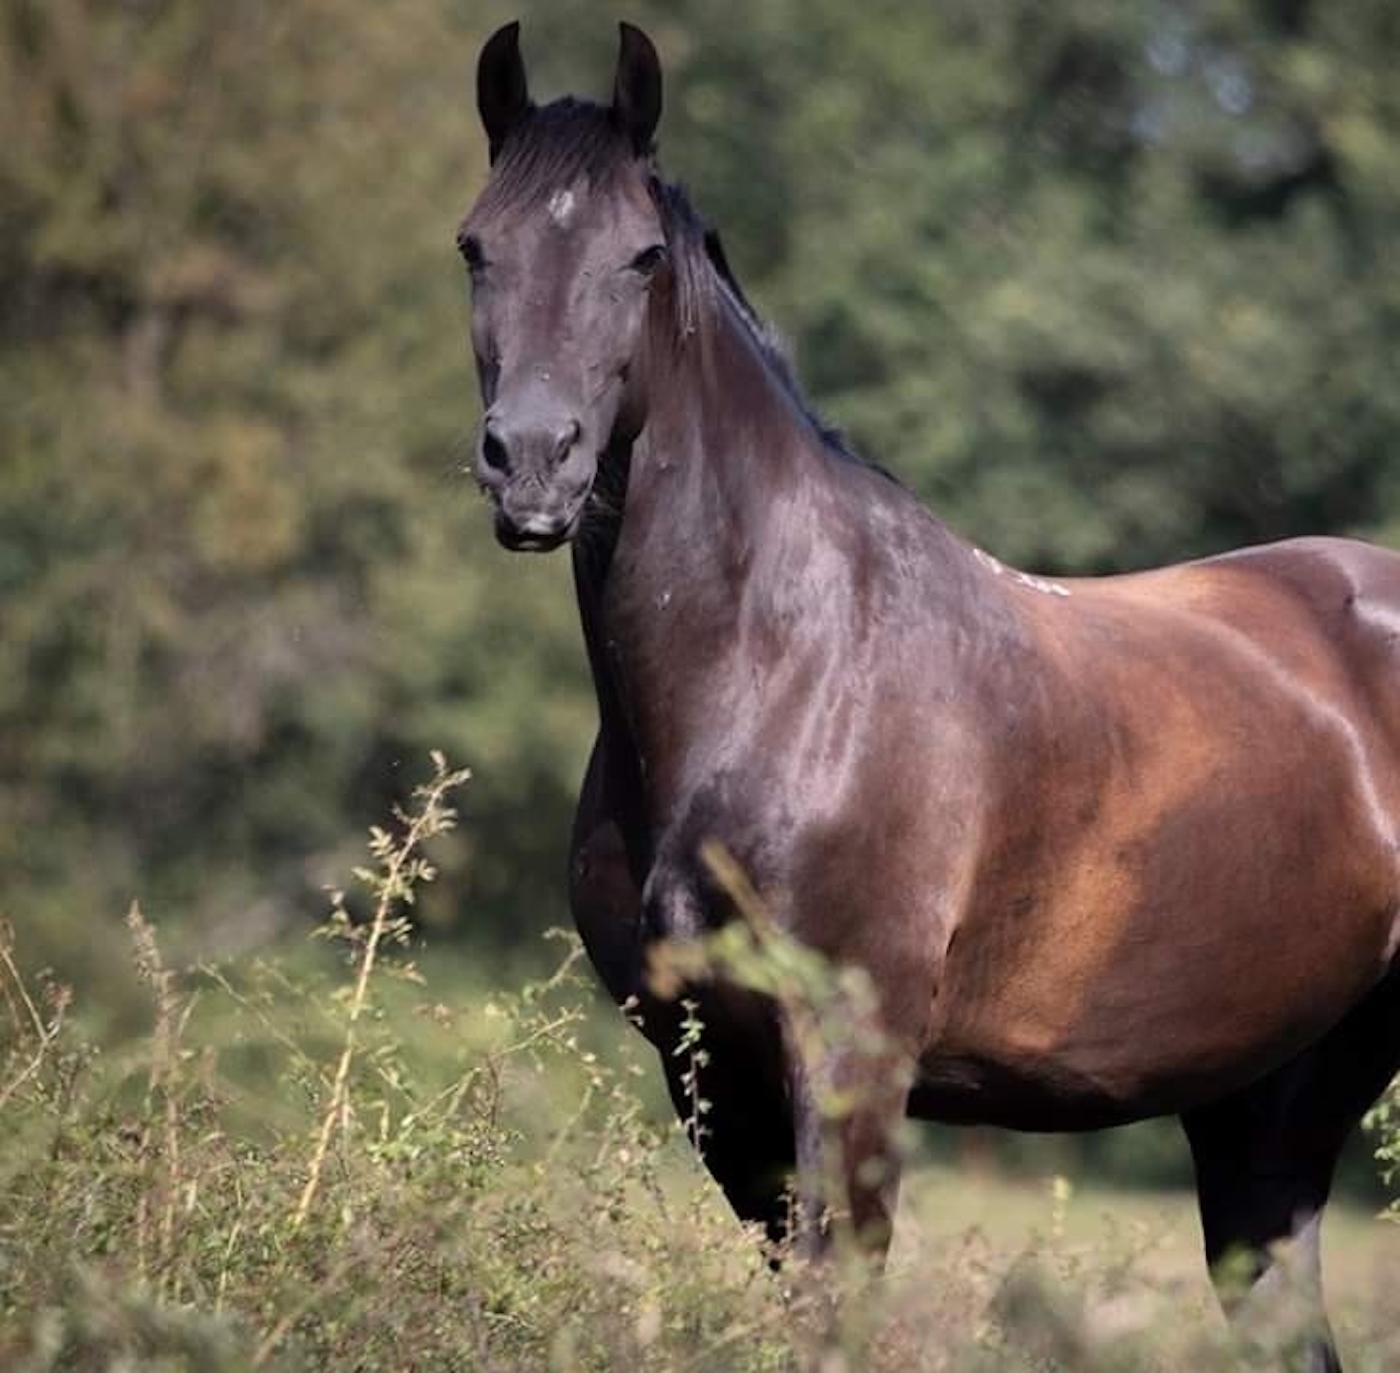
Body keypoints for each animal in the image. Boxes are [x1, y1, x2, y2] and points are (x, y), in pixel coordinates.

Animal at [456, 21, 1400, 1370]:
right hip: (1267, 1103)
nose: (530, 465)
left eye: (638, 256)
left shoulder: (851, 1053)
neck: (780, 671)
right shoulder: (714, 1080)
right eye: (475, 244)